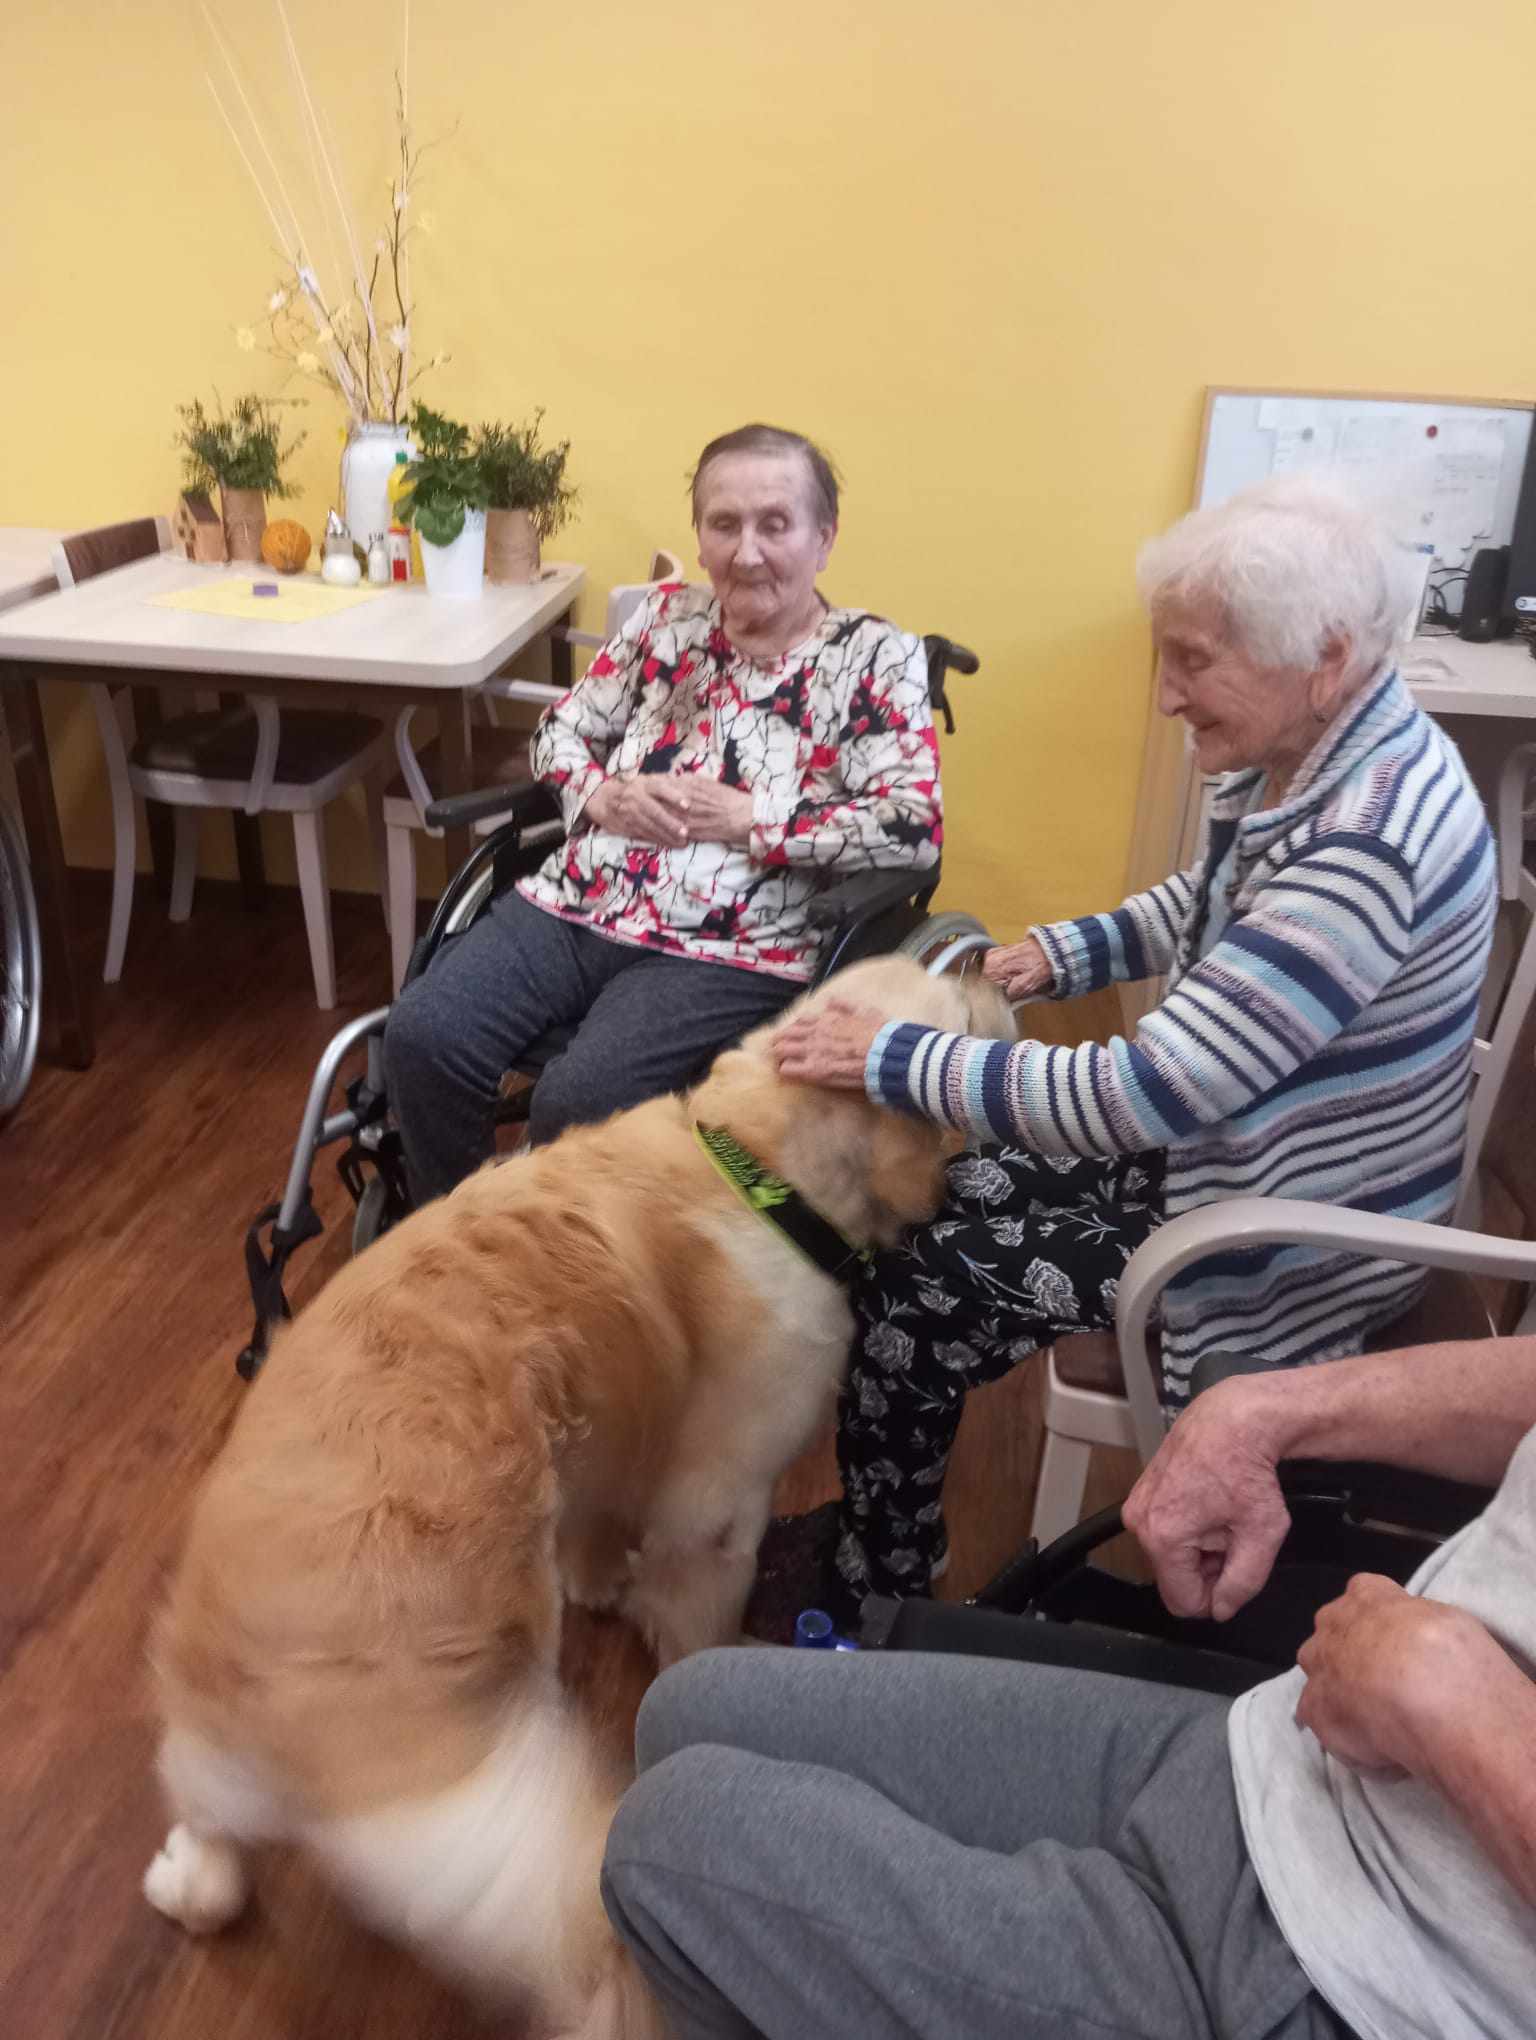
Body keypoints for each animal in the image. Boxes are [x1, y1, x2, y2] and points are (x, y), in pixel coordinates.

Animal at [143, 955, 1013, 2036]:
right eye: (948, 1012)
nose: (992, 960)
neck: (759, 1164)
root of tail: (268, 1666)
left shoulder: (606, 1432)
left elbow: (600, 1515)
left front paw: (599, 1581)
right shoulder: (717, 1506)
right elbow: (697, 1614)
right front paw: (701, 1653)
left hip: (218, 1745)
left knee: (211, 1837)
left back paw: (186, 1876)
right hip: (479, 1812)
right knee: (563, 1926)